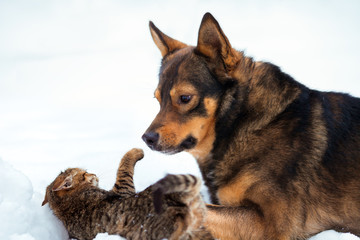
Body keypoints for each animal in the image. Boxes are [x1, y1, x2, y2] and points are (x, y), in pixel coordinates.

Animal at [142, 12, 360, 239]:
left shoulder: (268, 224)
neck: (241, 123)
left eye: (185, 98)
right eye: (158, 99)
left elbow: (200, 209)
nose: (147, 138)